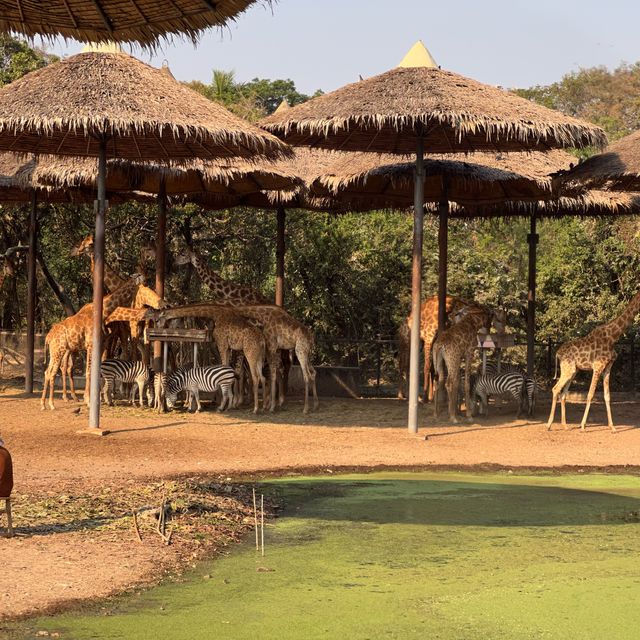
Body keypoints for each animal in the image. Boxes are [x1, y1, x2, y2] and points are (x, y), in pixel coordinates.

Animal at [42, 276, 143, 410]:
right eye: (140, 286)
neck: (104, 313)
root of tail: (48, 337)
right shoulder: (91, 344)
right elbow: (89, 371)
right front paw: (89, 401)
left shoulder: (101, 345)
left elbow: (97, 370)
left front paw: (96, 399)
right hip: (59, 350)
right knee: (54, 372)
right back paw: (52, 404)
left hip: (56, 351)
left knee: (48, 371)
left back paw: (43, 404)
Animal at [544, 292, 640, 432]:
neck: (613, 337)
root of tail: (557, 353)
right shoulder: (597, 367)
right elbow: (590, 394)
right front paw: (583, 426)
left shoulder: (608, 367)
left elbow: (607, 396)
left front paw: (613, 427)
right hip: (568, 369)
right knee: (556, 389)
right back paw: (548, 425)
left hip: (573, 371)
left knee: (563, 394)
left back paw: (565, 425)